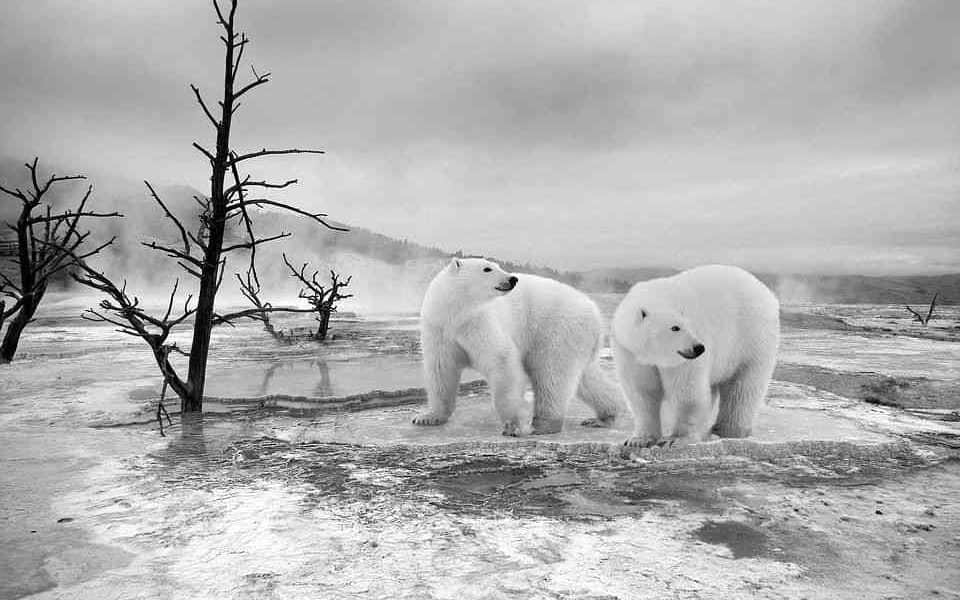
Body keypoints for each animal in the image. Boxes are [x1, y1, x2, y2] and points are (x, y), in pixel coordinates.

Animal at [412, 258, 624, 436]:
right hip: (576, 338)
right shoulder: (439, 330)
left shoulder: (480, 323)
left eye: (497, 265)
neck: (456, 314)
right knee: (586, 378)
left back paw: (543, 424)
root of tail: (595, 313)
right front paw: (427, 417)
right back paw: (605, 416)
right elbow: (441, 370)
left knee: (551, 375)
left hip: (557, 330)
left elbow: (502, 361)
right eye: (487, 268)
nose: (512, 279)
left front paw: (513, 426)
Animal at [616, 264, 780, 448]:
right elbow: (642, 393)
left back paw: (728, 430)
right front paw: (639, 440)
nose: (699, 348)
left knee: (743, 387)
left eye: (689, 325)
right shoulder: (630, 352)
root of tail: (766, 292)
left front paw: (675, 438)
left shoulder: (683, 361)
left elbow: (687, 392)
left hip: (751, 339)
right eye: (675, 327)